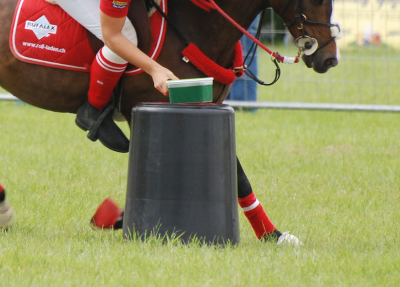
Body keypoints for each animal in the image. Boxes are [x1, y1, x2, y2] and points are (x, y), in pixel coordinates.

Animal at [0, 0, 340, 238]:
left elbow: (238, 177)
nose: (329, 59)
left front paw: (273, 235)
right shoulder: (149, 103)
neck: (192, 24)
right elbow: (239, 175)